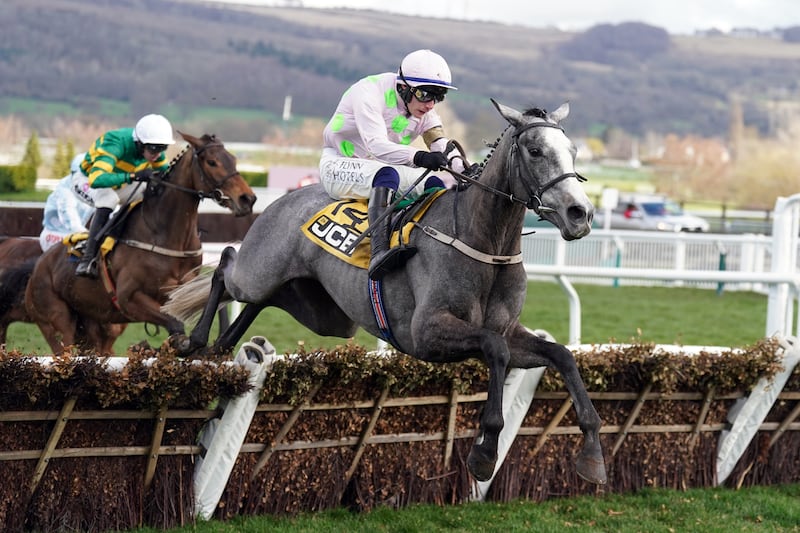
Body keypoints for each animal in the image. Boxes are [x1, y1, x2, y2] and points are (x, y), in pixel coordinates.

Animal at [24, 134, 256, 354]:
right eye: (212, 162)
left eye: (233, 159)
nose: (247, 199)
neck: (164, 235)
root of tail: (39, 264)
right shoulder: (129, 299)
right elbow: (175, 325)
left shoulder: (182, 290)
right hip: (58, 322)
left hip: (92, 322)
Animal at [166, 98, 608, 482]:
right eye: (534, 150)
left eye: (572, 151)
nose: (580, 214)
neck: (484, 243)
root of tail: (283, 199)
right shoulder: (427, 333)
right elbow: (494, 350)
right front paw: (485, 451)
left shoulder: (509, 331)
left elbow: (561, 354)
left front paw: (592, 451)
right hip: (258, 270)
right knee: (226, 265)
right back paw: (195, 341)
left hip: (322, 313)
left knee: (261, 301)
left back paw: (224, 344)